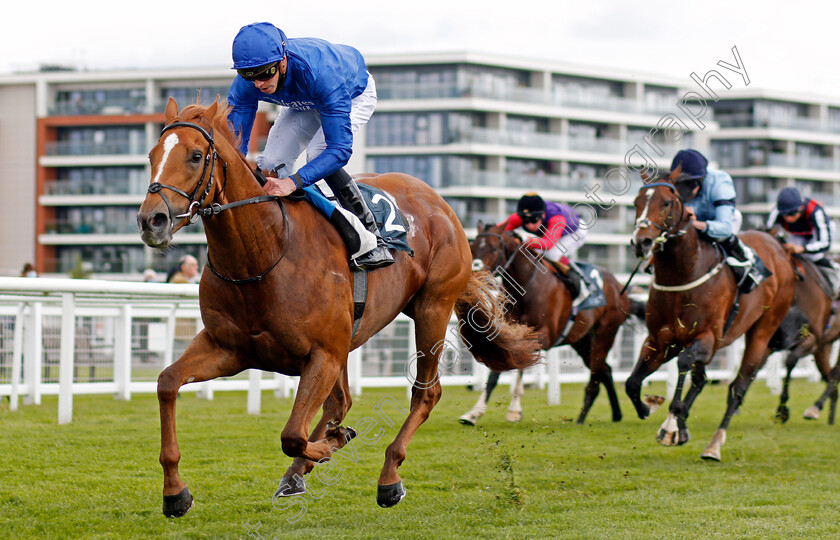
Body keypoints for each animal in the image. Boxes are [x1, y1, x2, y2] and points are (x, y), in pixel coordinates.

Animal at [135, 98, 540, 520]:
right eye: (151, 155)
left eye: (196, 156)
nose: (152, 220)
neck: (263, 252)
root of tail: (438, 201)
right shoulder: (228, 348)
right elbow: (167, 382)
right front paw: (175, 491)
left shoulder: (322, 353)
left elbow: (292, 434)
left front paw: (331, 444)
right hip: (354, 337)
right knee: (341, 401)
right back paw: (300, 471)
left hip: (433, 307)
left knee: (424, 394)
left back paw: (387, 476)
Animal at [460, 221, 636, 424]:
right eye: (472, 247)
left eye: (494, 248)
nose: (474, 276)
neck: (527, 286)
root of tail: (618, 285)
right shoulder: (508, 334)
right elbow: (495, 375)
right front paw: (474, 413)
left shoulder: (542, 336)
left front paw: (514, 410)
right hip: (580, 339)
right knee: (605, 369)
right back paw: (617, 413)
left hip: (605, 333)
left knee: (597, 371)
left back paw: (585, 417)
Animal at [624, 172, 796, 460]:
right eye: (637, 201)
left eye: (667, 202)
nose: (642, 242)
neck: (683, 274)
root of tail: (779, 249)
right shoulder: (659, 340)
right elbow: (632, 382)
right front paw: (650, 408)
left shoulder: (707, 338)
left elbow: (684, 362)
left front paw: (670, 426)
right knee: (701, 379)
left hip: (761, 332)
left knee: (737, 389)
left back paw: (713, 445)